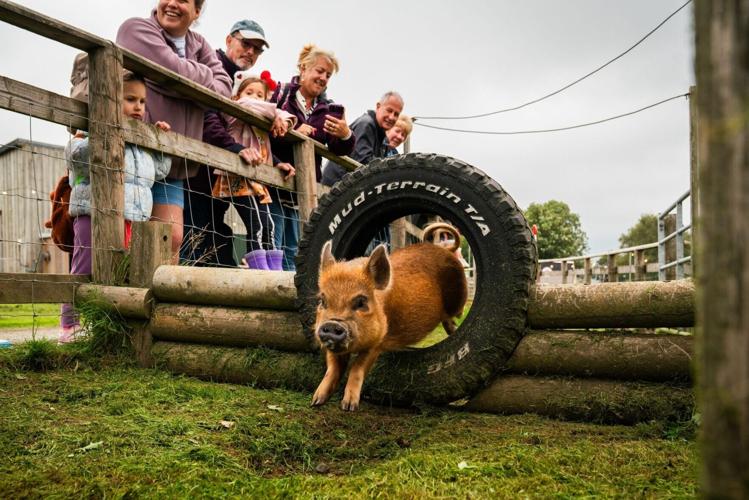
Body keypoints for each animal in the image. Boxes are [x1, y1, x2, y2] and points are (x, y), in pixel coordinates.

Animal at [312, 223, 468, 410]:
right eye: (322, 300)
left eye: (361, 302)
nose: (332, 325)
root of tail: (445, 249)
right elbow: (332, 367)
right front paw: (316, 400)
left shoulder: (377, 343)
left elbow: (357, 367)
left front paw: (349, 407)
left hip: (459, 294)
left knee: (454, 314)